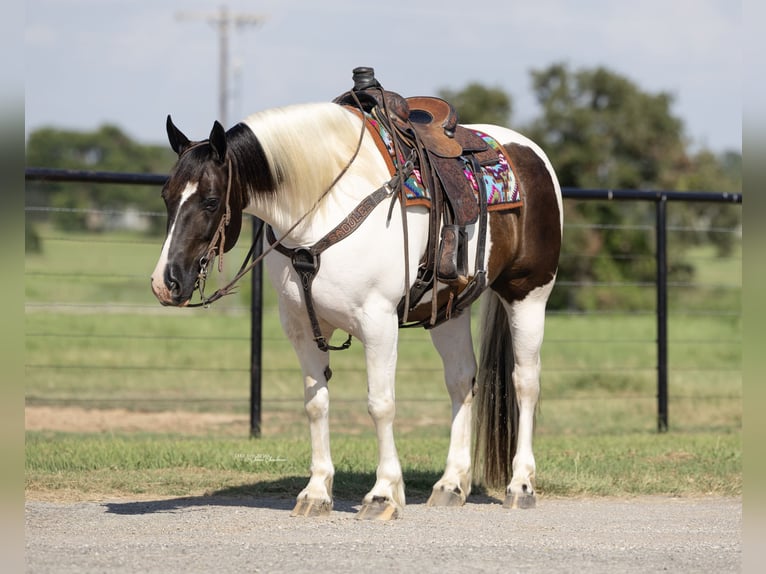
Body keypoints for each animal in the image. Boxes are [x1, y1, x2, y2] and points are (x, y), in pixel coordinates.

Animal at [150, 92, 562, 520]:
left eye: (211, 201)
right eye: (166, 196)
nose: (166, 282)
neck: (324, 208)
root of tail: (529, 151)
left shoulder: (378, 322)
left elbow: (380, 404)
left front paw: (383, 494)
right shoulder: (301, 327)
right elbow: (316, 404)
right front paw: (316, 492)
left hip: (529, 294)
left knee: (525, 382)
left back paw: (521, 484)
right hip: (450, 311)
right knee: (461, 380)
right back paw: (451, 484)